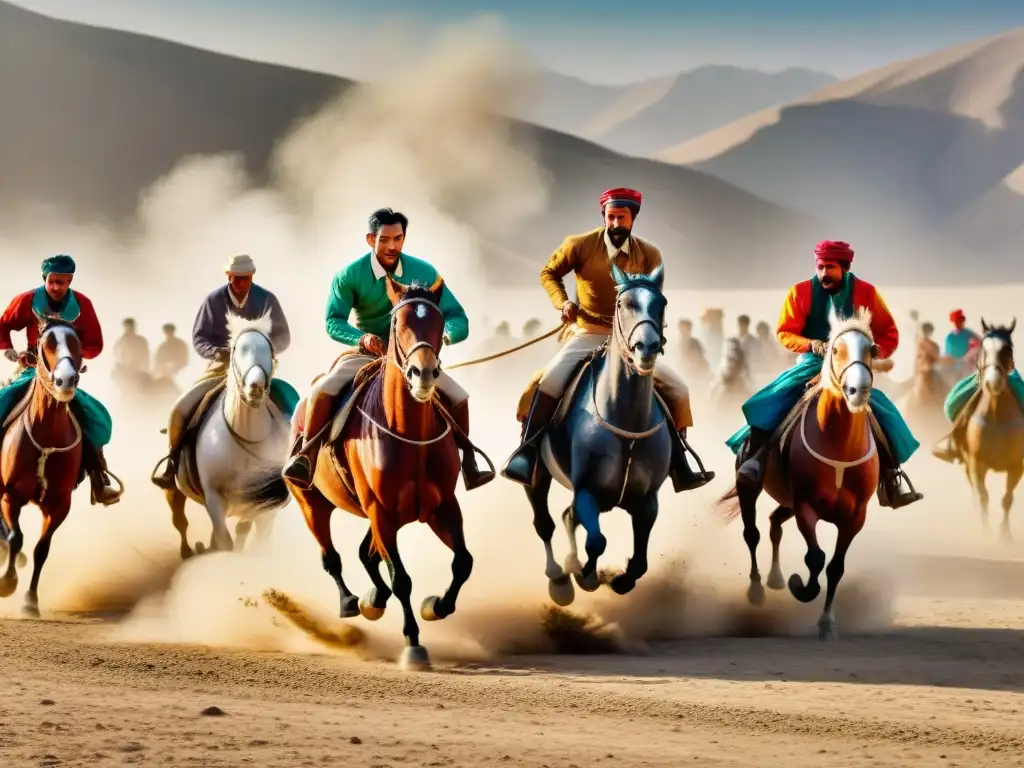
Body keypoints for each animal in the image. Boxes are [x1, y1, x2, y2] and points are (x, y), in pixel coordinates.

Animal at [0, 319, 86, 618]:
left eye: (77, 342)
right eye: (45, 343)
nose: (66, 380)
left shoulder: (60, 503)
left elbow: (42, 549)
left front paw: (30, 600)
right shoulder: (10, 495)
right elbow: (16, 537)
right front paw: (7, 582)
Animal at [160, 313, 288, 561]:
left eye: (269, 348)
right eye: (238, 349)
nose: (256, 387)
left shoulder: (266, 505)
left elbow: (256, 540)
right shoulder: (214, 499)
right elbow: (225, 542)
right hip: (175, 488)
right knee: (180, 520)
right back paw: (188, 552)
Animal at [237, 280, 468, 671]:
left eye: (438, 324)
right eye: (398, 324)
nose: (423, 374)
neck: (409, 434)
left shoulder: (441, 507)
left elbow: (463, 563)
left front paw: (435, 606)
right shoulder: (381, 512)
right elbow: (401, 579)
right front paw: (413, 644)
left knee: (366, 554)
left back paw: (373, 599)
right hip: (312, 502)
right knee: (332, 556)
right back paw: (351, 602)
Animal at [528, 264, 671, 606]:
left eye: (661, 304)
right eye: (623, 304)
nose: (646, 347)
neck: (627, 423)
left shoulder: (648, 499)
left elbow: (641, 561)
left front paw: (621, 580)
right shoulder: (586, 490)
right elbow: (596, 541)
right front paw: (587, 577)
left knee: (567, 517)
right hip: (536, 477)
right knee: (545, 522)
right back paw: (559, 578)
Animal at [720, 313, 888, 643]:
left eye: (871, 349)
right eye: (836, 350)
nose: (857, 390)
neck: (839, 445)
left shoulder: (855, 517)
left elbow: (835, 567)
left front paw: (827, 623)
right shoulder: (806, 506)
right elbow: (816, 558)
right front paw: (802, 586)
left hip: (786, 501)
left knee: (774, 522)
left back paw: (775, 578)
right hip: (750, 486)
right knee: (752, 533)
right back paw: (757, 589)